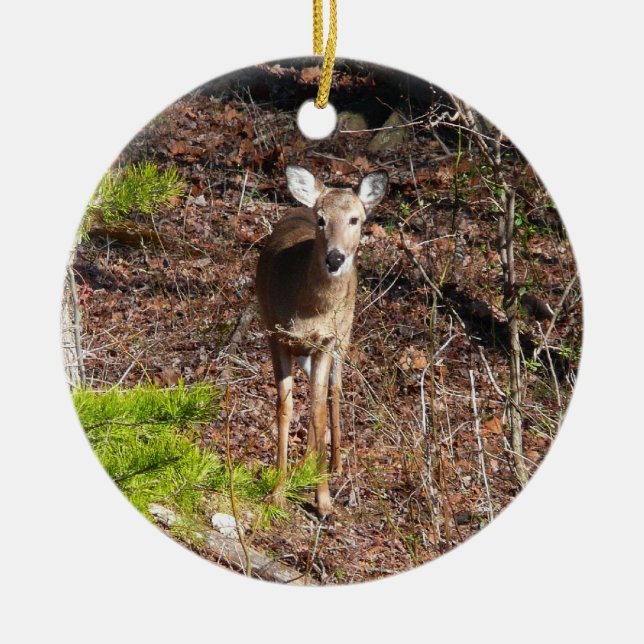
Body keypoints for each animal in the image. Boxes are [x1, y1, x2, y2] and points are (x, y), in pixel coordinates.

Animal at [255, 165, 388, 515]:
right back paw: (305, 466)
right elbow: (285, 408)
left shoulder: (326, 342)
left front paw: (323, 499)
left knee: (334, 390)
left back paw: (334, 464)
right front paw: (277, 490)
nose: (335, 258)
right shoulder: (275, 334)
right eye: (321, 219)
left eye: (355, 219)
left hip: (345, 333)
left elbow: (316, 412)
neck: (310, 310)